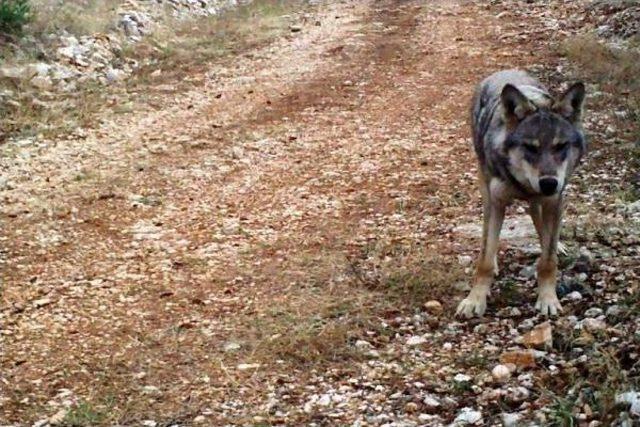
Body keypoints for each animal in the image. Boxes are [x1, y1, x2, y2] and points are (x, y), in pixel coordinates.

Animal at [456, 70, 584, 318]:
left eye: (561, 146)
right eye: (530, 147)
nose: (549, 183)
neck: (523, 186)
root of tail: (503, 72)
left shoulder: (555, 200)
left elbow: (548, 261)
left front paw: (548, 299)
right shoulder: (496, 203)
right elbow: (484, 259)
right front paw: (474, 300)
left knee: (539, 220)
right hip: (485, 186)